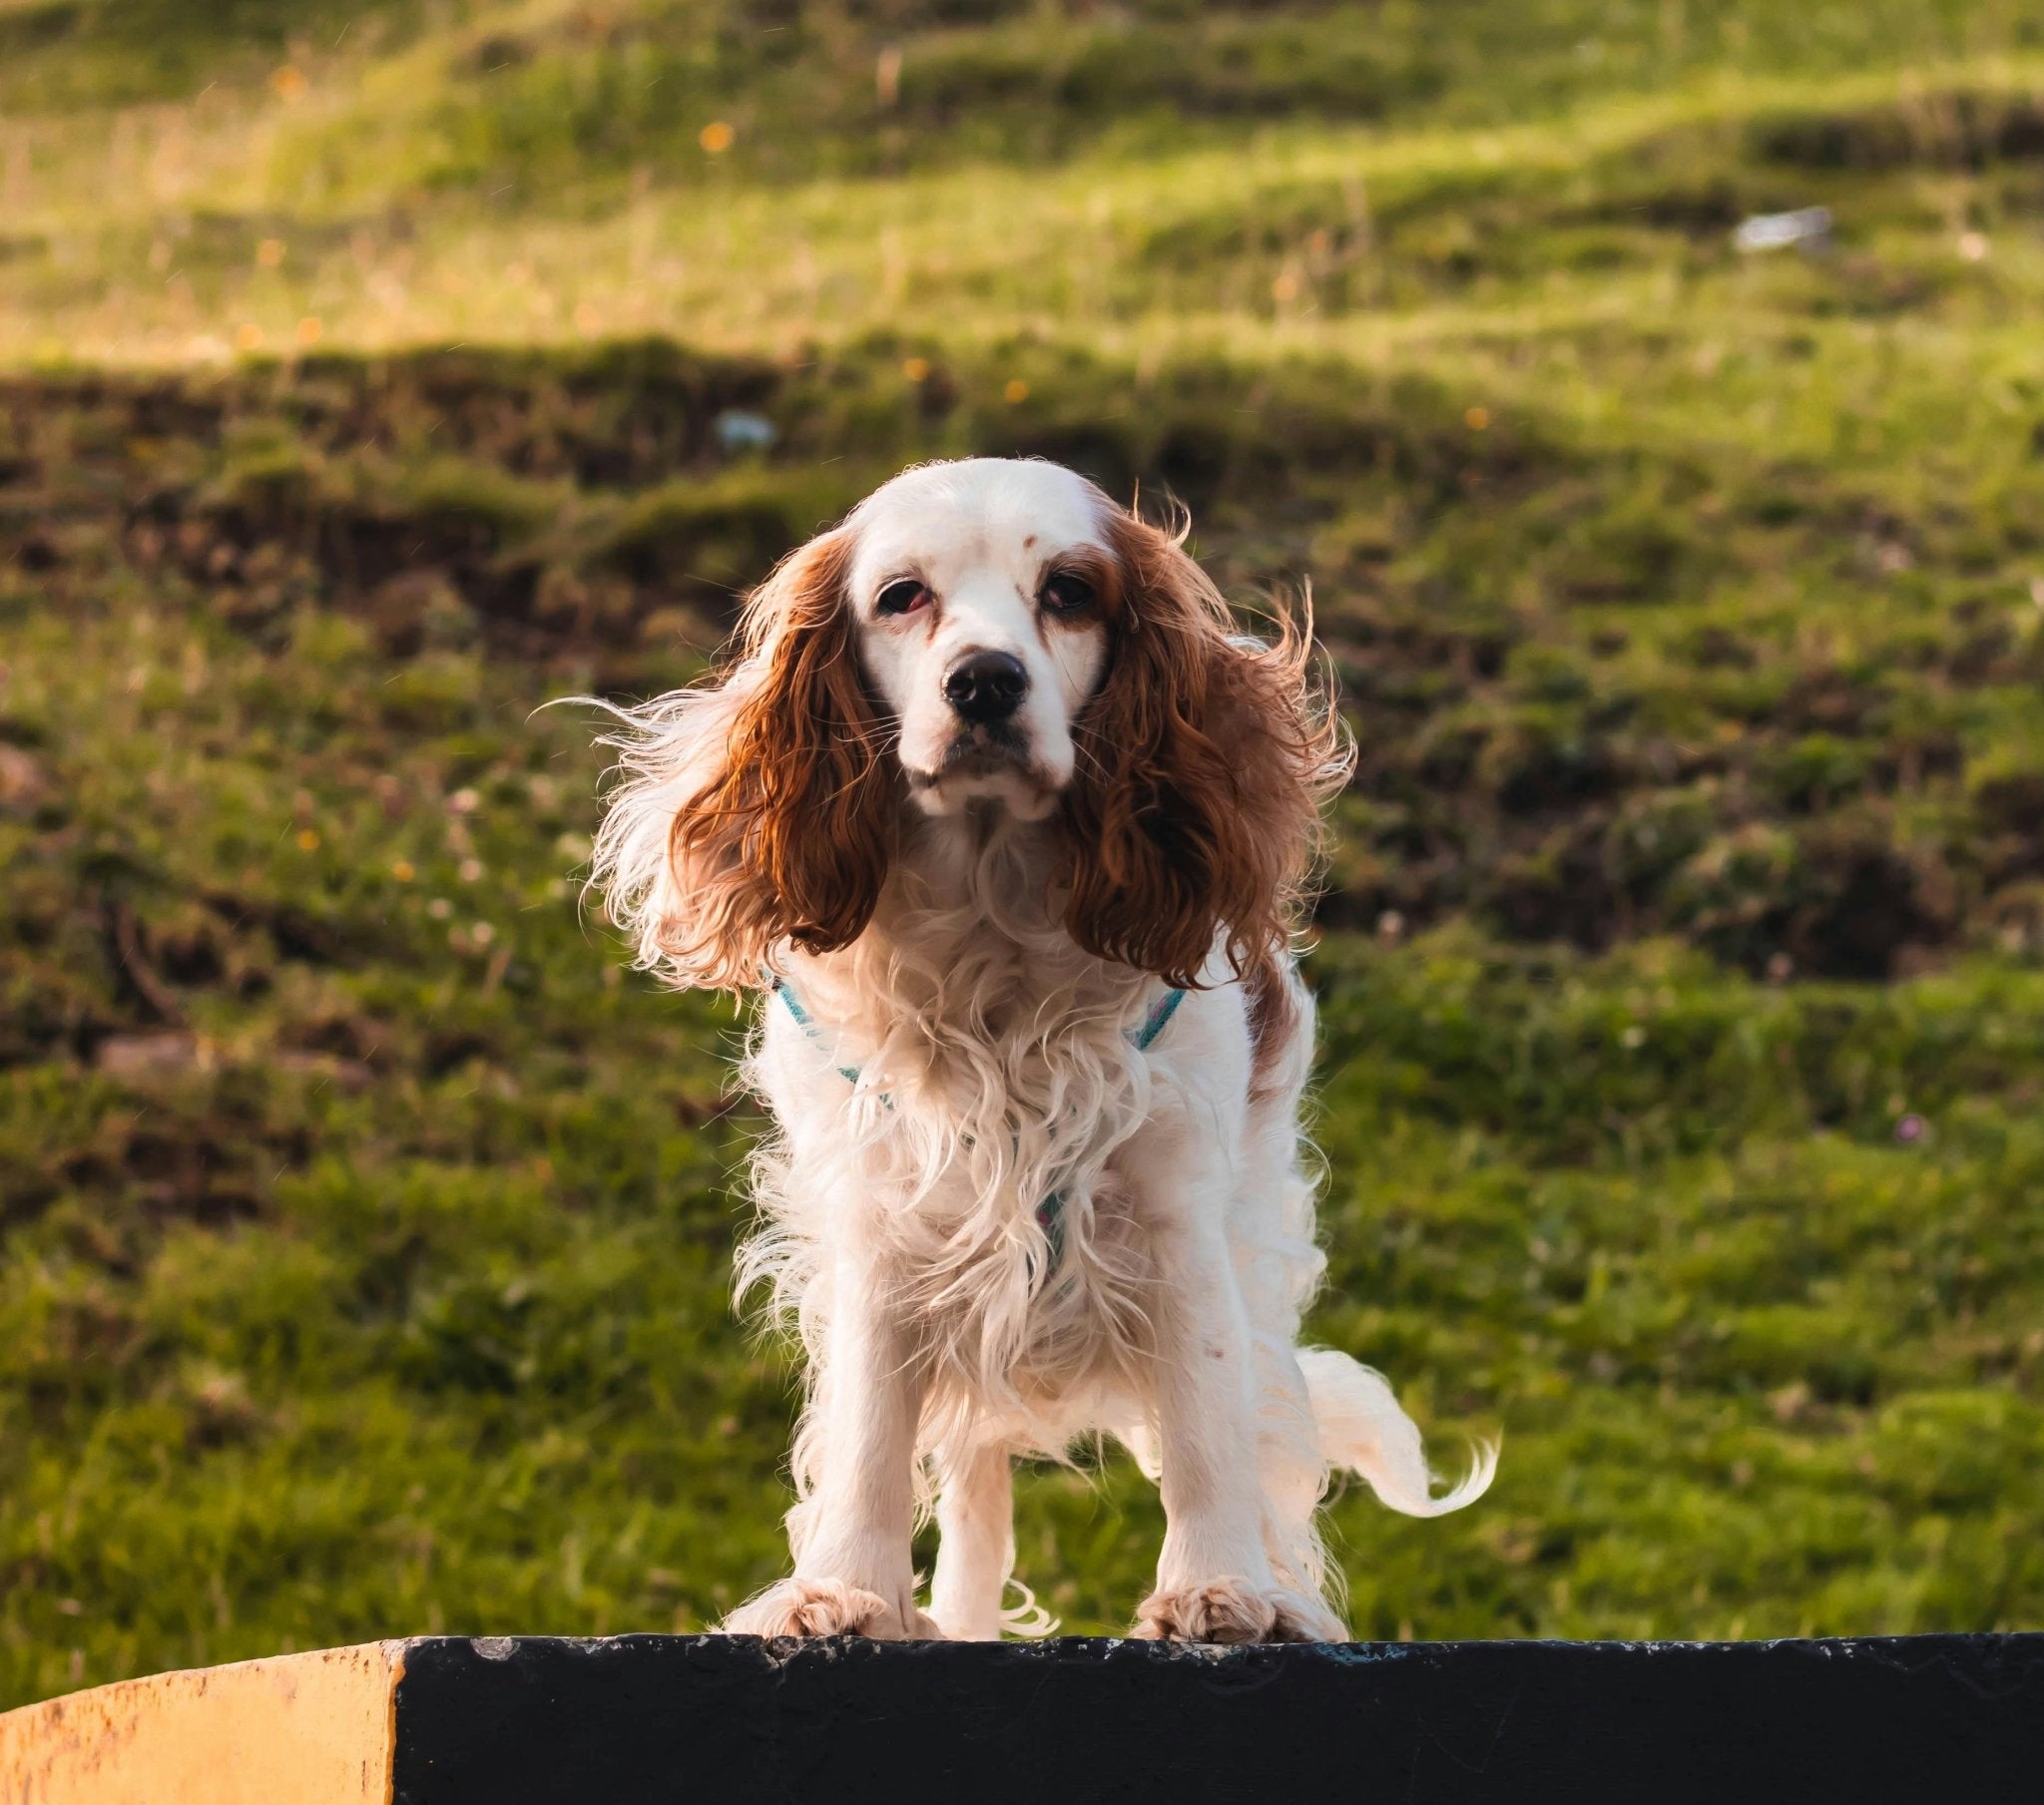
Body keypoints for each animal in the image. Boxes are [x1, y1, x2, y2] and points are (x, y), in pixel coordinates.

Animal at [584, 457, 1496, 1643]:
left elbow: (1207, 1426)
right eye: (901, 597)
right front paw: (844, 1591)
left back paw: (1283, 1592)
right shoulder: (884, 1222)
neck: (995, 943)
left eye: (1068, 591)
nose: (984, 682)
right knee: (974, 1495)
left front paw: (1219, 1588)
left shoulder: (1177, 1219)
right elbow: (871, 1439)